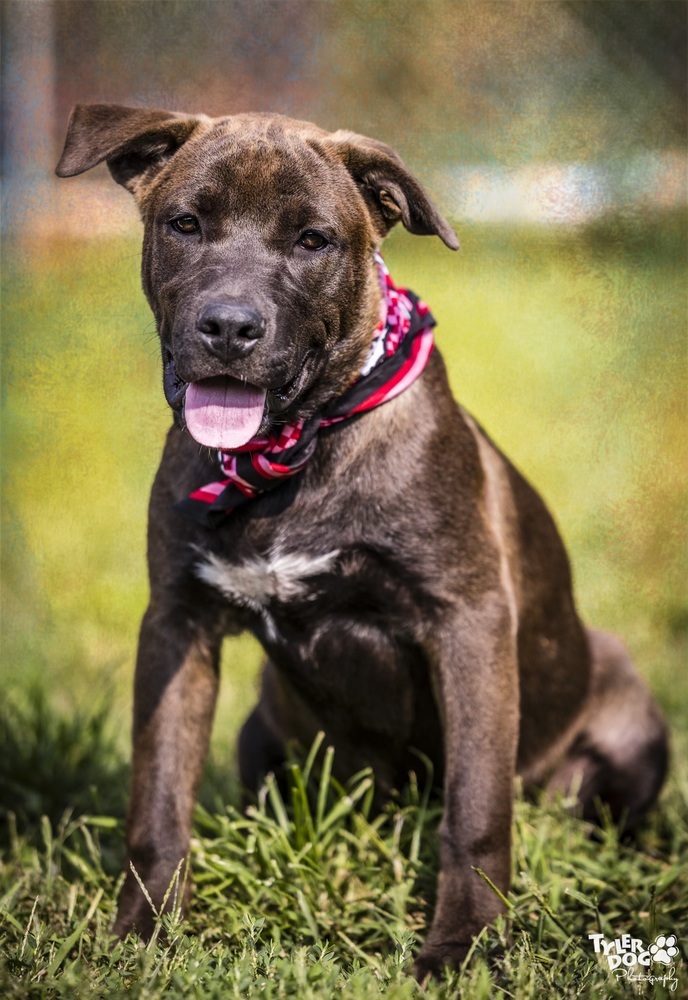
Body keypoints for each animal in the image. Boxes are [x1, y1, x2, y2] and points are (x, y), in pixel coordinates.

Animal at [56, 107, 668, 976]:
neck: (294, 453)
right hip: (261, 729)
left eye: (313, 240)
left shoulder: (468, 620)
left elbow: (476, 809)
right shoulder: (176, 623)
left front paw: (464, 946)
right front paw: (140, 937)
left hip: (628, 716)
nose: (229, 328)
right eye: (186, 224)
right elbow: (158, 798)